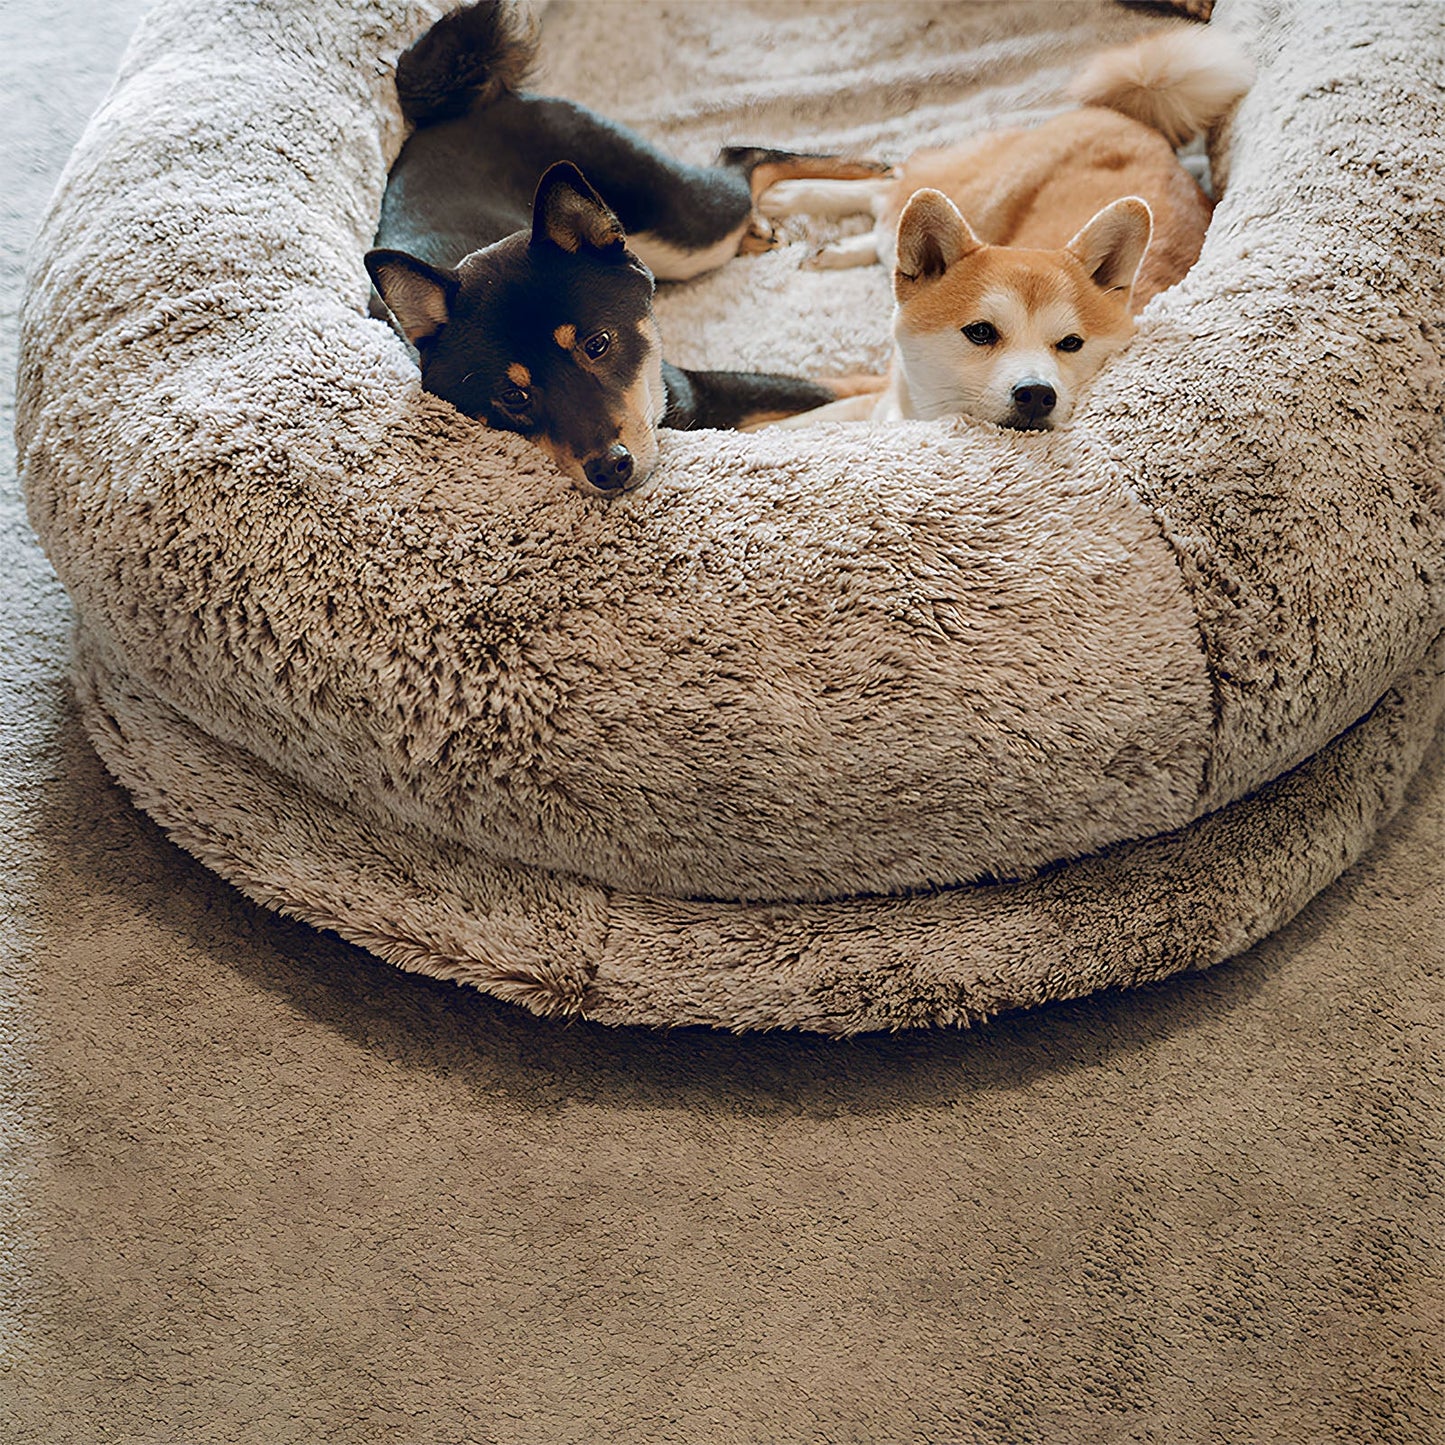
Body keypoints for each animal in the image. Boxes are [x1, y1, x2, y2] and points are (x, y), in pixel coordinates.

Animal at [367, 2, 878, 494]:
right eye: (513, 396)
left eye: (598, 345)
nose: (610, 468)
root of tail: (464, 110)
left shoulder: (696, 388)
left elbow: (832, 387)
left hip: (689, 228)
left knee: (743, 160)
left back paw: (876, 169)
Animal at [762, 29, 1248, 427]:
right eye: (980, 332)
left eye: (1071, 343)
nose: (1035, 393)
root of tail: (1139, 124)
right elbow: (803, 423)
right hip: (976, 191)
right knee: (890, 186)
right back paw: (791, 195)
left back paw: (832, 246)